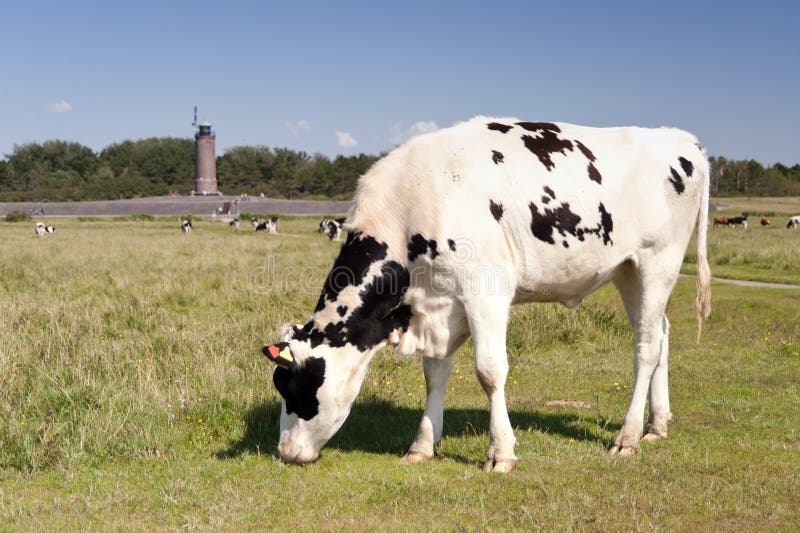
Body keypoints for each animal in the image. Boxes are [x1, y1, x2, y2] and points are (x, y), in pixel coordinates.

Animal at [258, 115, 712, 470]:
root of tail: (679, 139)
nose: (284, 451)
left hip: (658, 261)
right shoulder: (440, 303)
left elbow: (490, 372)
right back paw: (657, 425)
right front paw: (423, 446)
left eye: (291, 386)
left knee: (646, 348)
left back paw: (628, 437)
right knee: (661, 332)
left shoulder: (485, 289)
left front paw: (501, 453)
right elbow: (434, 374)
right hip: (627, 271)